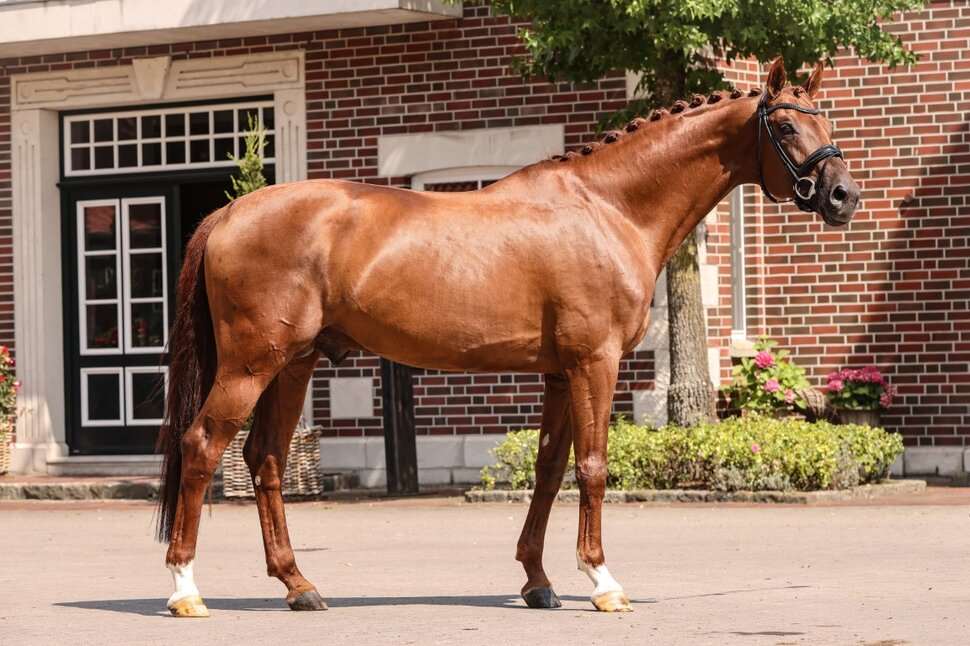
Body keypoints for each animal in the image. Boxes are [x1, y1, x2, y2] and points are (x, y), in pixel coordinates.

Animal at [156, 57, 859, 617]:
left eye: (827, 124)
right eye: (786, 127)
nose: (844, 196)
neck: (609, 208)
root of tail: (229, 211)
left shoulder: (559, 373)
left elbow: (549, 470)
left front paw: (538, 581)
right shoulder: (595, 363)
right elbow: (593, 467)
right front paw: (602, 581)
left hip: (294, 364)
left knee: (265, 459)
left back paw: (299, 585)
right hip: (250, 365)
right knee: (202, 446)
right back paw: (185, 590)